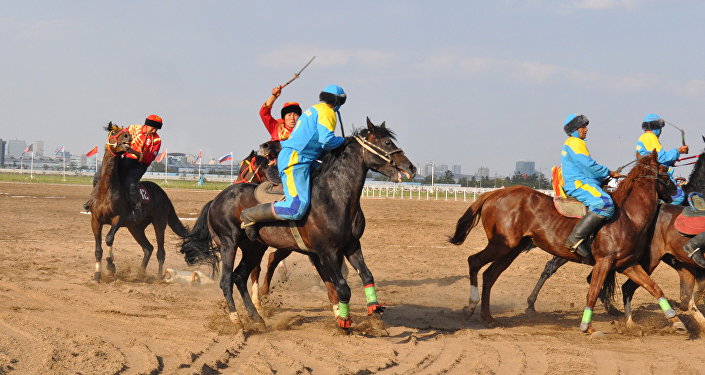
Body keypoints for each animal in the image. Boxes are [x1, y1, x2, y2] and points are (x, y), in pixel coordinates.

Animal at [91, 122, 190, 282]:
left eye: (124, 132)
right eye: (115, 132)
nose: (128, 136)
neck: (106, 190)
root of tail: (164, 195)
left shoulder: (118, 219)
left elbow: (109, 239)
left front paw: (111, 266)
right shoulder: (95, 221)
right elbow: (98, 250)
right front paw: (96, 276)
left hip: (159, 223)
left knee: (160, 251)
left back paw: (158, 277)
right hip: (136, 227)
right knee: (148, 248)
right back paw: (140, 274)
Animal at [179, 118, 416, 332]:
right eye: (386, 142)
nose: (411, 167)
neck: (334, 197)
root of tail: (216, 199)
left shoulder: (351, 246)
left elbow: (366, 276)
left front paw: (375, 316)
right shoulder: (327, 252)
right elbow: (341, 287)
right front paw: (344, 322)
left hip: (254, 247)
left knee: (240, 276)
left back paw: (257, 317)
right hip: (228, 244)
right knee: (226, 280)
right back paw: (237, 321)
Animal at [448, 153, 680, 334]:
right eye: (664, 171)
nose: (676, 190)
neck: (628, 216)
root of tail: (494, 193)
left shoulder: (626, 264)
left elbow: (654, 287)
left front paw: (675, 320)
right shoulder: (604, 262)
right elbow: (593, 292)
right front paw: (588, 326)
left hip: (511, 250)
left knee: (489, 275)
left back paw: (487, 317)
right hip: (501, 245)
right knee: (474, 261)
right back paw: (471, 306)